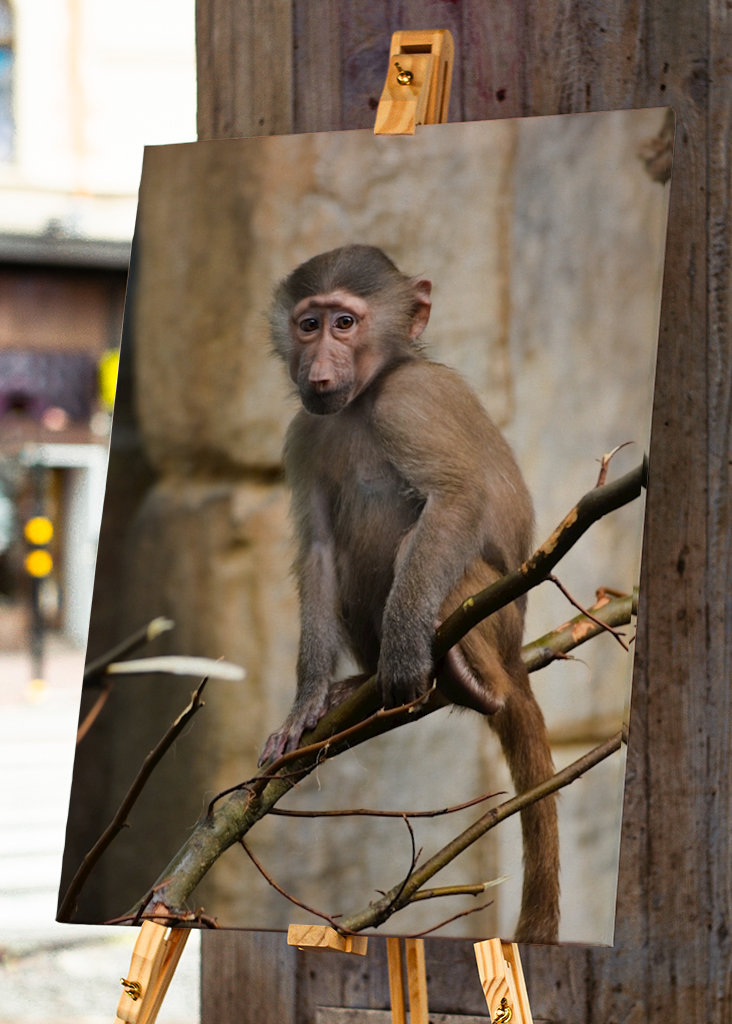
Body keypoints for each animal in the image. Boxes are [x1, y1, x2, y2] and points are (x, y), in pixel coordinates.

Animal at [260, 244, 559, 943]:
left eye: (345, 322)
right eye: (309, 324)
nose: (318, 367)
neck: (365, 397)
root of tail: (516, 655)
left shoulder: (409, 403)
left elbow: (456, 498)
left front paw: (401, 656)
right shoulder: (304, 432)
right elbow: (319, 553)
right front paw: (305, 702)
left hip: (492, 613)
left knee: (420, 550)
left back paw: (465, 678)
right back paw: (356, 685)